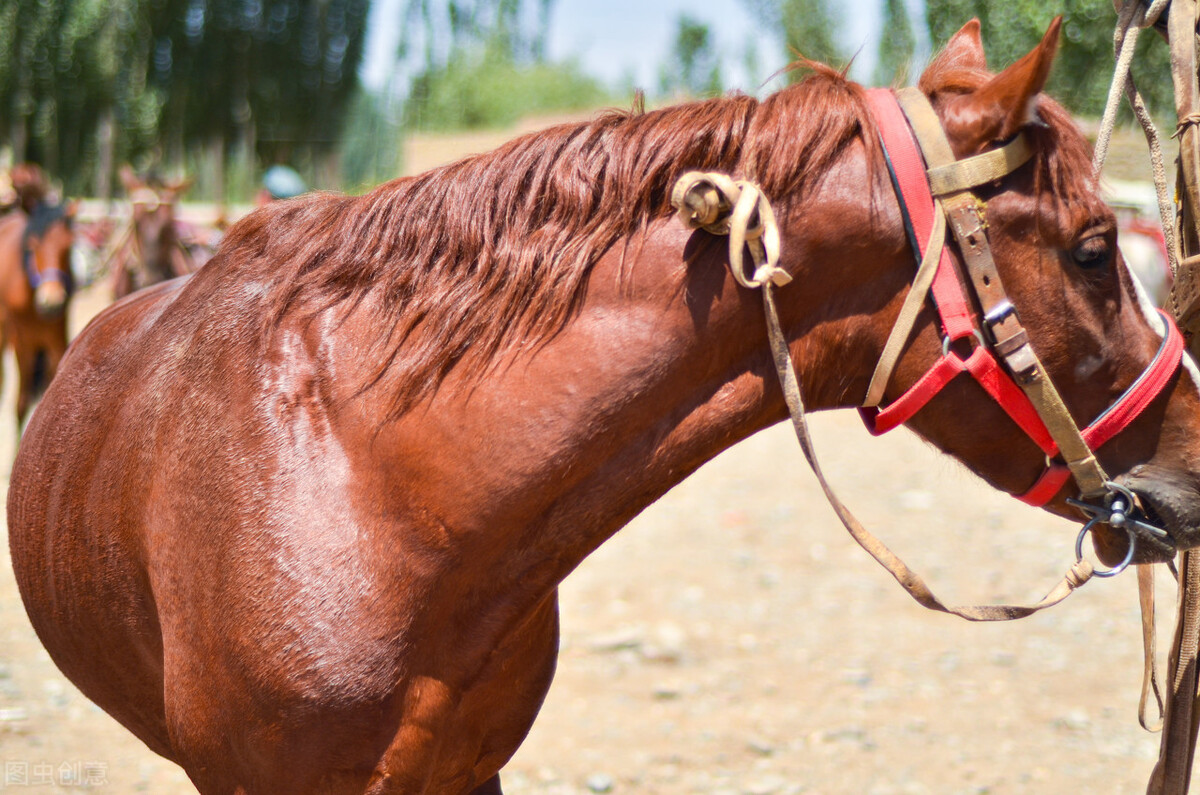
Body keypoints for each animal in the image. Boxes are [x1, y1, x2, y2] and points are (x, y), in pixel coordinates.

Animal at [0, 199, 74, 437]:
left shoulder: (57, 335)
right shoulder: (23, 342)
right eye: (33, 246)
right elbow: (21, 404)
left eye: (68, 247)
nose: (51, 300)